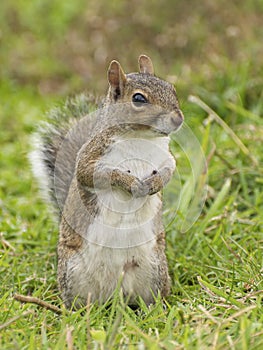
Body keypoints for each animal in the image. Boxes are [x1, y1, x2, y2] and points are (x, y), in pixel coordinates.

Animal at [31, 53, 184, 308]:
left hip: (155, 270)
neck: (141, 137)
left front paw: (154, 184)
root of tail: (115, 294)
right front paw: (131, 183)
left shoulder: (166, 158)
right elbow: (97, 174)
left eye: (172, 88)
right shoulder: (91, 158)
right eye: (139, 98)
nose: (178, 120)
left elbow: (169, 171)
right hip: (72, 272)